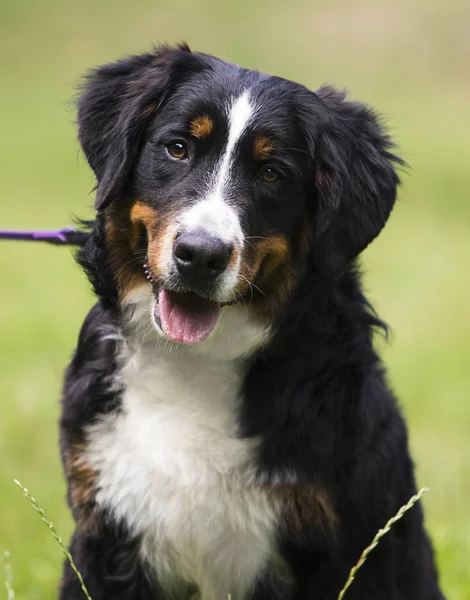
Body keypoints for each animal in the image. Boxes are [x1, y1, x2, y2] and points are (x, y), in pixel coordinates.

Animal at [58, 43, 444, 600]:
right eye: (177, 148)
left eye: (271, 173)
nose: (201, 255)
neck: (196, 365)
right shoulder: (104, 532)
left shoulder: (342, 552)